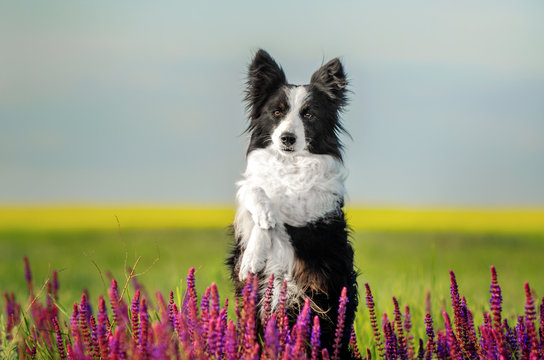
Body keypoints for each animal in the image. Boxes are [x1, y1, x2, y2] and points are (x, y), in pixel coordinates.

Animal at [227, 50, 360, 358]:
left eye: (308, 114)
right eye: (277, 112)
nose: (287, 138)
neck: (289, 165)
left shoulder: (313, 214)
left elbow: (284, 206)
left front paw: (255, 252)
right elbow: (255, 190)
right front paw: (252, 256)